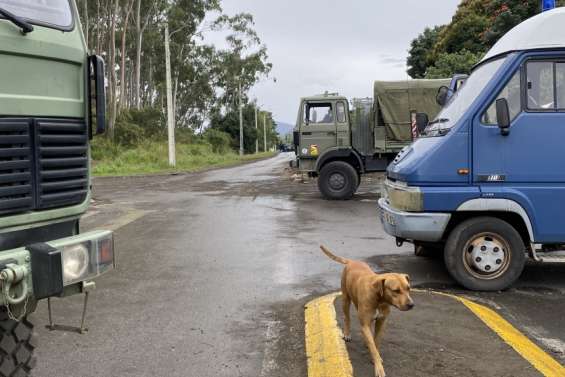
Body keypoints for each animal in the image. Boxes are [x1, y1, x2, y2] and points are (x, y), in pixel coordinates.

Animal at [322, 245, 410, 374]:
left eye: (409, 288)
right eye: (396, 290)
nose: (411, 304)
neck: (379, 297)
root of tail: (352, 261)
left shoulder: (382, 321)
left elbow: (376, 342)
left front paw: (375, 355)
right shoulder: (365, 320)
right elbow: (372, 344)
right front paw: (379, 368)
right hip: (345, 299)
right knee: (347, 317)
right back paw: (347, 333)